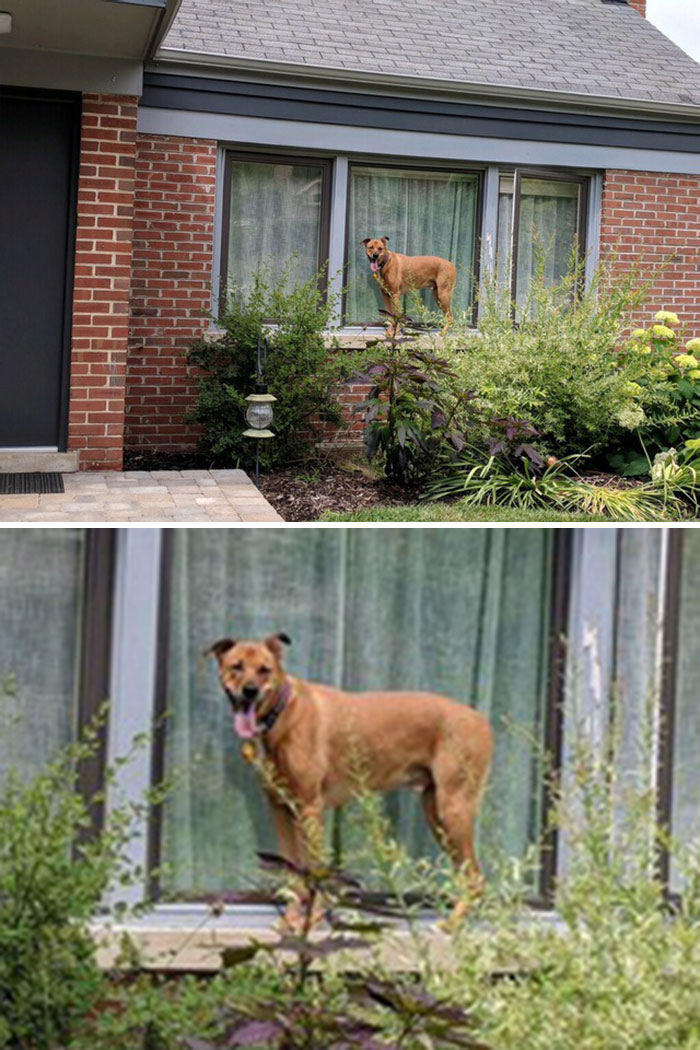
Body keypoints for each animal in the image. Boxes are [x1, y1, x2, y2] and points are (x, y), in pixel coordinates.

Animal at [206, 630, 493, 928]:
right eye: (237, 666)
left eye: (265, 670)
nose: (249, 691)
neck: (282, 712)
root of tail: (481, 719)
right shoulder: (280, 809)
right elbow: (292, 872)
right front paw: (292, 919)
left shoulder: (310, 808)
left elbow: (316, 868)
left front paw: (314, 917)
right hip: (435, 812)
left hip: (454, 809)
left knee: (475, 877)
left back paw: (454, 923)